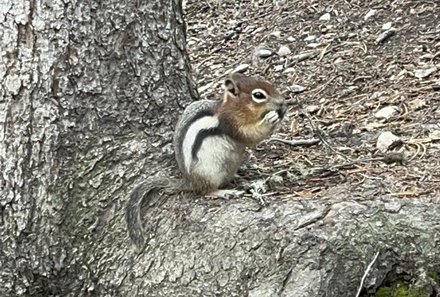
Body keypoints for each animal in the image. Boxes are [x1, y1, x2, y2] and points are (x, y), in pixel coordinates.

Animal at [125, 73, 288, 246]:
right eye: (258, 95)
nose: (282, 102)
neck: (236, 107)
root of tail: (190, 181)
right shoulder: (232, 124)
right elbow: (251, 137)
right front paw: (271, 118)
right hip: (210, 173)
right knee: (205, 191)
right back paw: (223, 192)